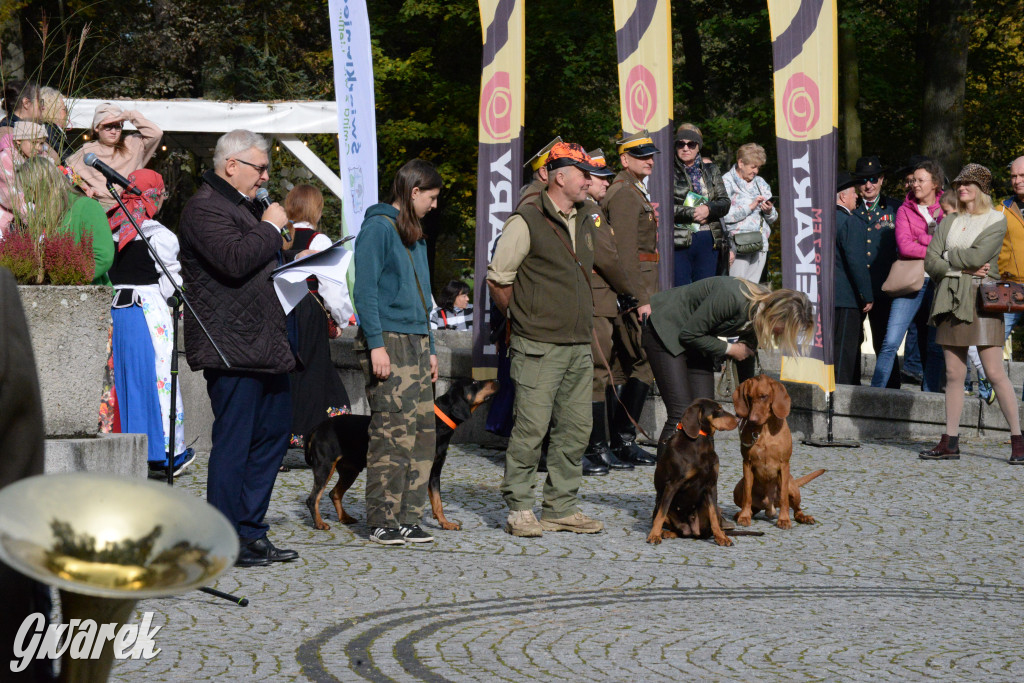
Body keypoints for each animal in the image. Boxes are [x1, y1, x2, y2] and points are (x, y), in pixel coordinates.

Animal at [301, 378, 497, 532]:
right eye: (474, 383)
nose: (496, 380)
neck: (437, 425)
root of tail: (316, 428)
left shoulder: (434, 472)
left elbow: (438, 502)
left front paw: (445, 523)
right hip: (325, 467)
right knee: (312, 498)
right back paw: (319, 523)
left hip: (350, 470)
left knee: (334, 493)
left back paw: (344, 518)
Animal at [643, 397, 765, 548]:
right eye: (718, 409)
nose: (738, 420)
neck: (699, 444)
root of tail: (690, 529)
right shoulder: (672, 485)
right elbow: (661, 514)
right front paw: (654, 535)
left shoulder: (711, 485)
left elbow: (713, 517)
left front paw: (721, 537)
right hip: (659, 504)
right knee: (672, 525)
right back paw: (664, 532)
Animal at [737, 374, 823, 528]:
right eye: (749, 397)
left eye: (764, 396)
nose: (752, 420)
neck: (764, 429)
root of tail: (768, 508)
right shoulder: (747, 463)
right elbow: (747, 495)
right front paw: (744, 516)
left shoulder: (784, 465)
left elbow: (784, 498)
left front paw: (783, 519)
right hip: (737, 488)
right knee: (750, 506)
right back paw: (741, 514)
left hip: (792, 486)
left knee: (797, 510)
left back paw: (804, 517)